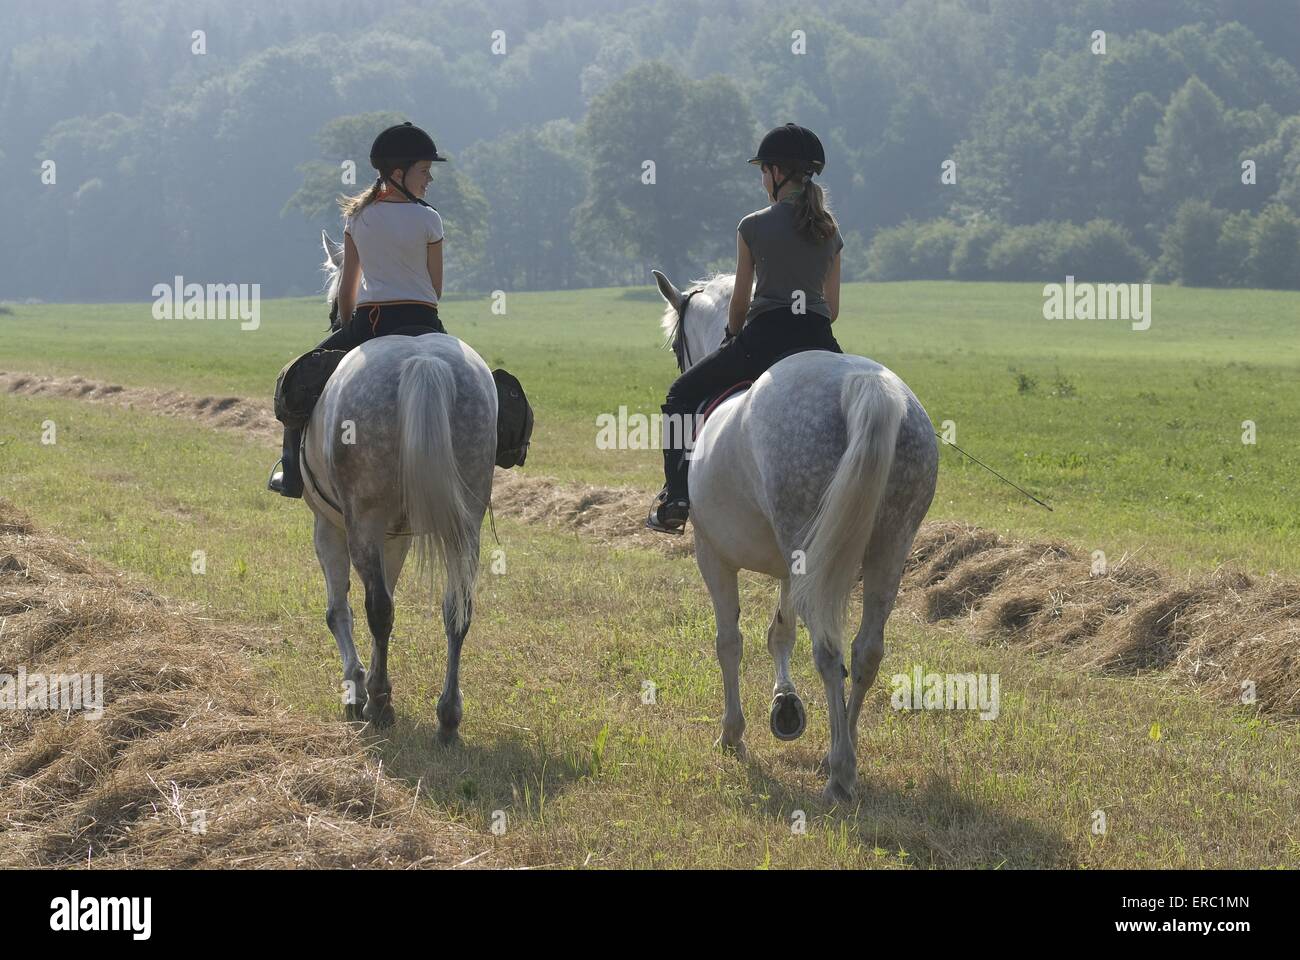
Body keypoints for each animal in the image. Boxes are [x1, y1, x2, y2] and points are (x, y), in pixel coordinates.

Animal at [302, 232, 497, 739]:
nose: (335, 315)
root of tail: (423, 361)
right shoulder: (397, 536)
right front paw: (368, 680)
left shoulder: (331, 527)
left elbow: (340, 608)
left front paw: (356, 686)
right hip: (465, 523)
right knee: (456, 609)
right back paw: (447, 716)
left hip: (362, 522)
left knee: (377, 609)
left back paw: (380, 704)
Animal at [652, 269, 939, 803]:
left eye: (676, 342)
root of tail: (862, 384)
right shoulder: (795, 564)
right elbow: (779, 632)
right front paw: (785, 706)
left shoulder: (712, 554)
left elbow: (730, 640)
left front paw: (732, 733)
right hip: (885, 549)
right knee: (866, 651)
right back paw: (840, 751)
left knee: (827, 650)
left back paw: (840, 773)